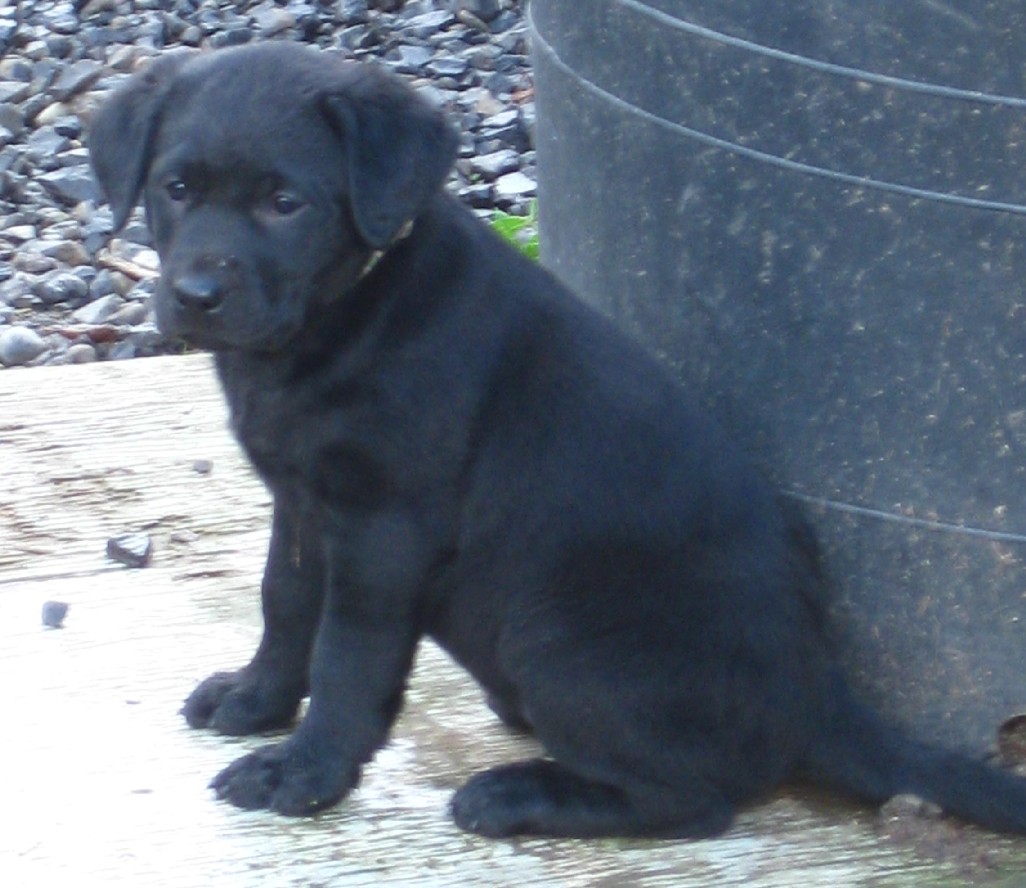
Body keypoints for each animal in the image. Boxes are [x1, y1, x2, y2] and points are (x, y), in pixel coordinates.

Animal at [90, 45, 1026, 837]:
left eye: (286, 204)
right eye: (177, 188)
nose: (195, 296)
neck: (340, 318)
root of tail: (819, 693)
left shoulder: (385, 530)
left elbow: (348, 658)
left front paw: (304, 772)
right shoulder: (302, 503)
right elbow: (286, 607)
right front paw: (256, 702)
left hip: (553, 634)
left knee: (697, 802)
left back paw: (517, 796)